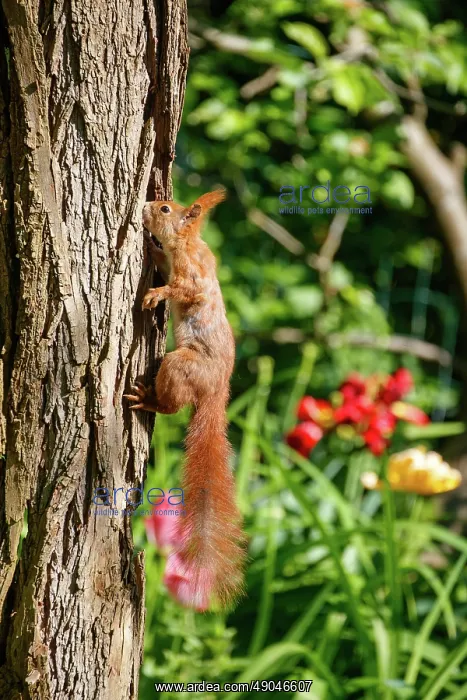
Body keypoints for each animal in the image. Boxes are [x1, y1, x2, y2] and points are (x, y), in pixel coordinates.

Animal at [125, 189, 246, 609]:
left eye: (165, 208)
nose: (145, 205)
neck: (188, 243)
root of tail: (216, 393)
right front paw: (150, 247)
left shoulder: (194, 276)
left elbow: (184, 290)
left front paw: (157, 293)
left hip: (179, 365)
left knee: (173, 405)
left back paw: (148, 399)